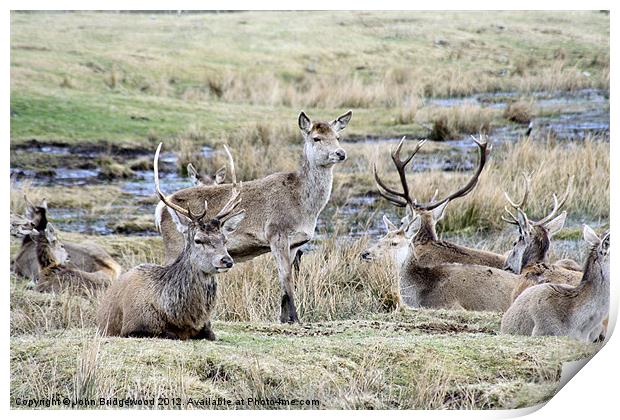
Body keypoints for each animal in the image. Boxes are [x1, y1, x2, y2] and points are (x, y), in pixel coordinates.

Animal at [97, 143, 245, 340]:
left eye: (225, 239)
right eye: (198, 240)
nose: (226, 260)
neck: (180, 317)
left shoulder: (208, 329)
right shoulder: (132, 328)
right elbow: (167, 334)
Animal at [155, 110, 352, 324]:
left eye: (338, 137)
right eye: (316, 138)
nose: (340, 153)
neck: (304, 207)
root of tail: (161, 208)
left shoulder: (295, 244)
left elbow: (284, 280)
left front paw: (284, 318)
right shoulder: (276, 233)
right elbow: (287, 277)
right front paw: (295, 319)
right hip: (174, 244)